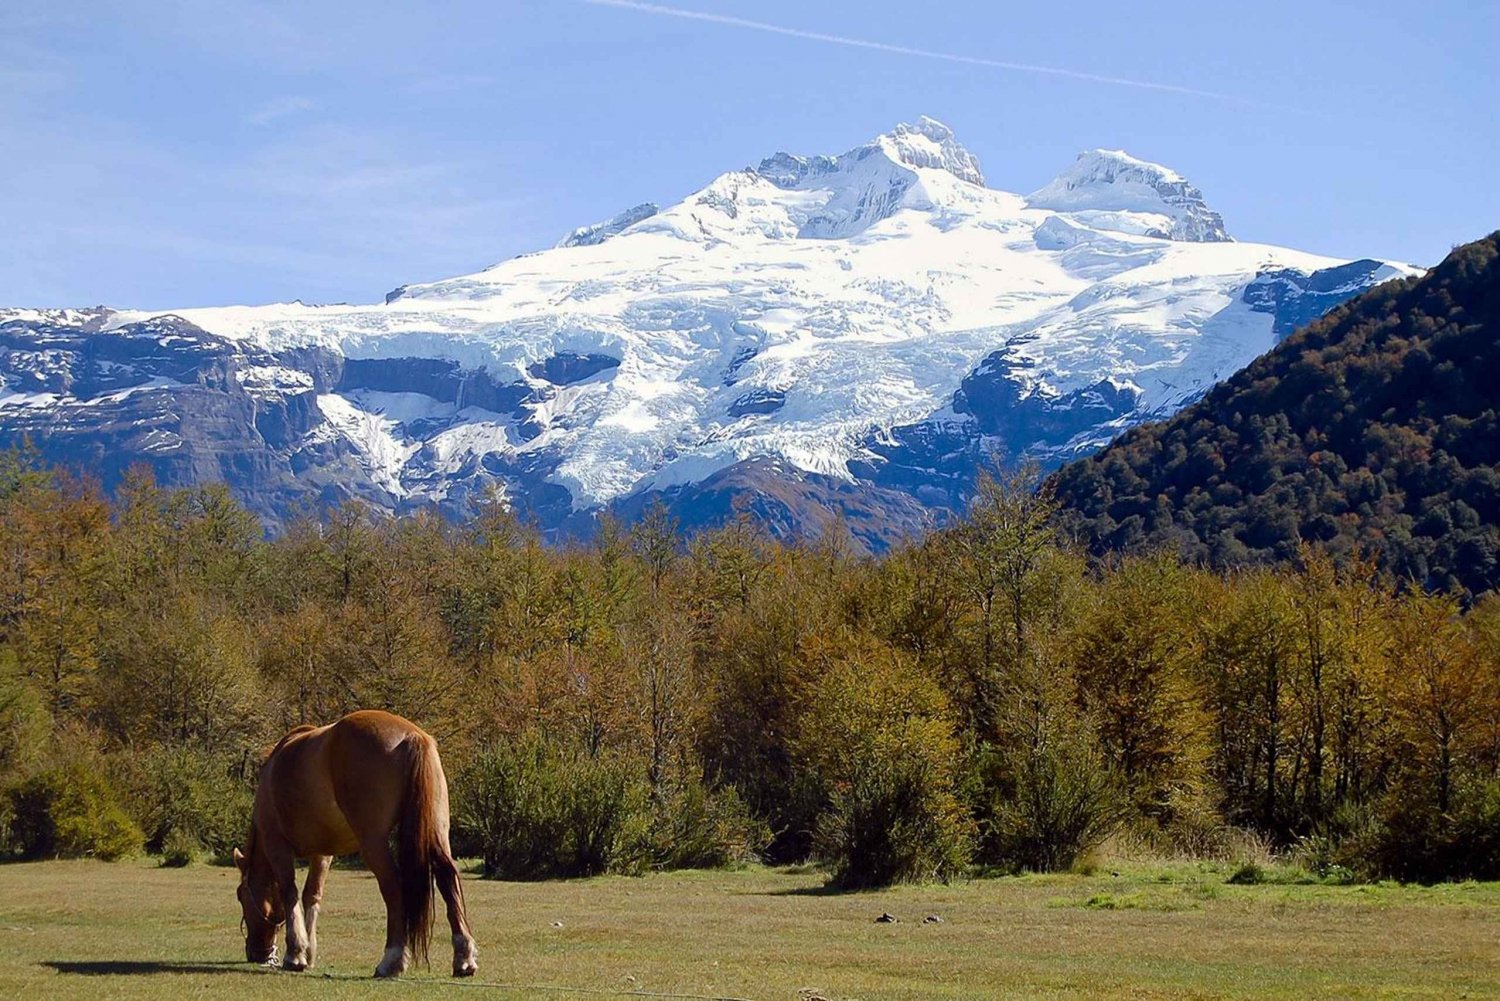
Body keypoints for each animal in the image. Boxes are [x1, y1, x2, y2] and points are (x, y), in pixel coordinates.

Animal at [231, 711, 477, 978]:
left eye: (240, 896)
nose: (257, 954)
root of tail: (411, 735)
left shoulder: (277, 845)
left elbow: (290, 892)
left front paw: (295, 953)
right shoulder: (322, 853)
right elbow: (312, 895)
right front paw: (308, 952)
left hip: (373, 842)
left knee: (393, 886)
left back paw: (391, 959)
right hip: (438, 832)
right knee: (447, 878)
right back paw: (464, 958)